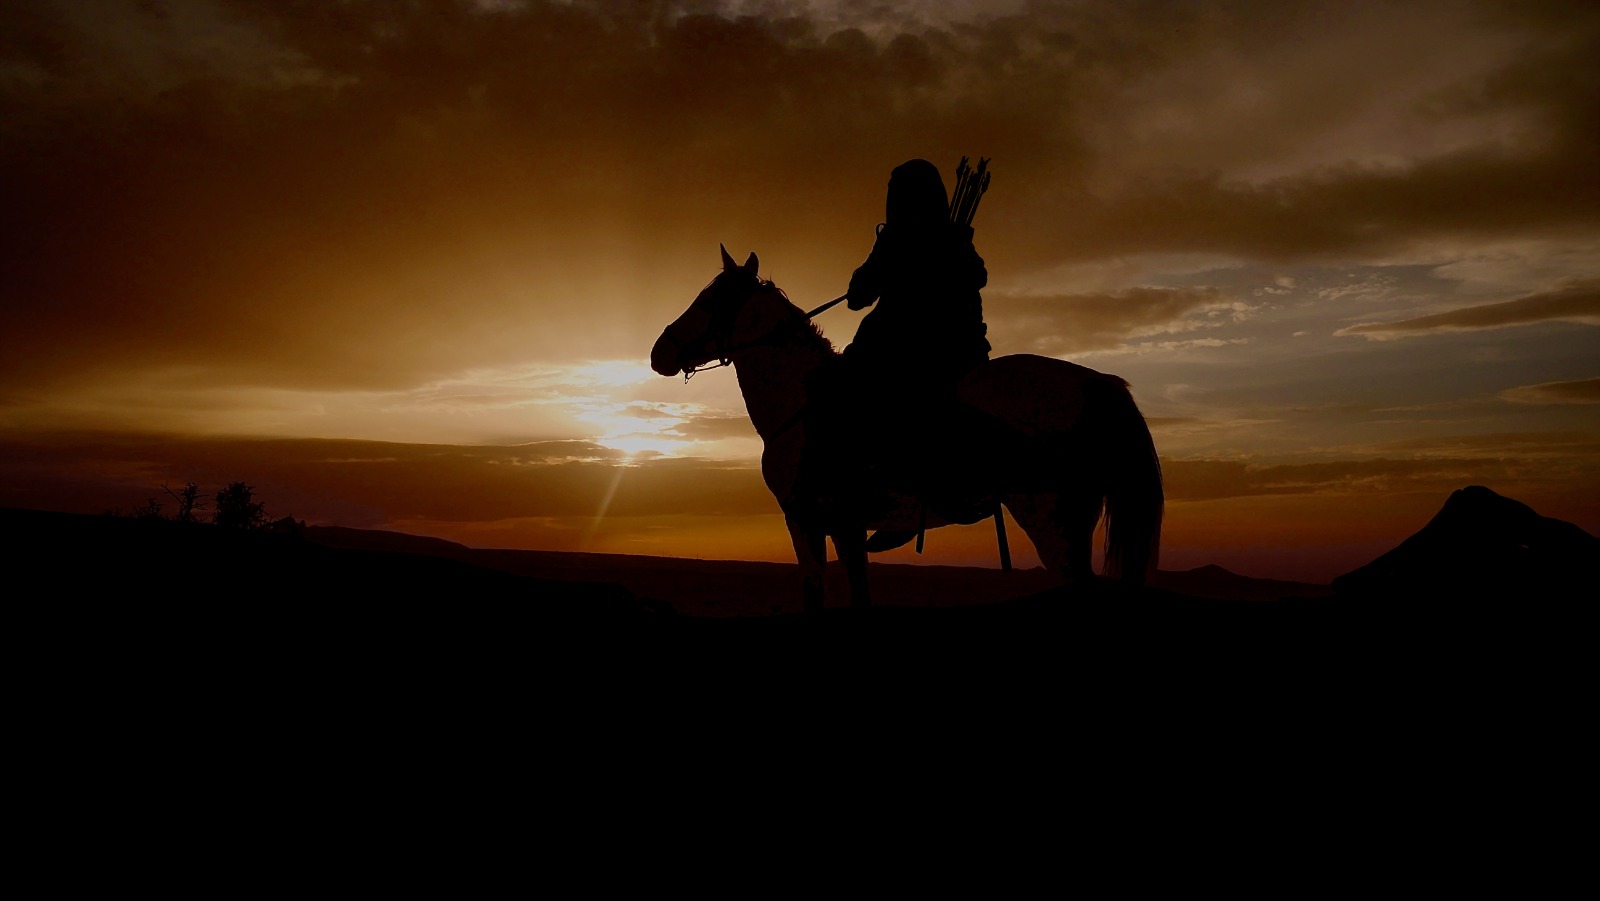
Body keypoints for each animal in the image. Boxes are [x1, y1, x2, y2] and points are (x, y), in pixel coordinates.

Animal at [649, 246, 1164, 614]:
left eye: (708, 301)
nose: (658, 353)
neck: (803, 401)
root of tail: (1098, 384)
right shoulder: (835, 526)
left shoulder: (817, 519)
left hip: (1053, 525)